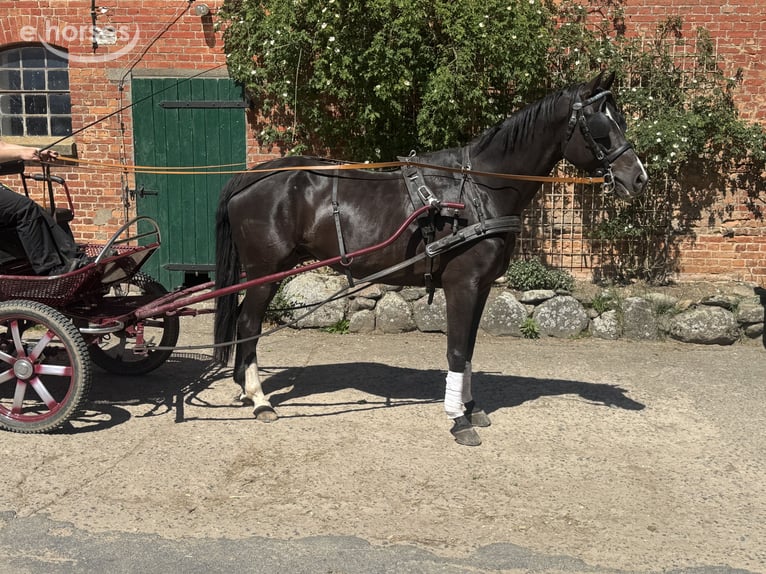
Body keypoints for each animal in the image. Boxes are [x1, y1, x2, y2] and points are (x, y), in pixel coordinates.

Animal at [213, 71, 648, 446]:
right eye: (600, 127)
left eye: (622, 119)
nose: (639, 179)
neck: (479, 189)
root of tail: (249, 177)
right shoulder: (462, 284)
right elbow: (456, 349)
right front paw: (458, 419)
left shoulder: (482, 287)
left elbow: (468, 348)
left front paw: (471, 407)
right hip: (267, 271)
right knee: (249, 323)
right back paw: (259, 399)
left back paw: (245, 390)